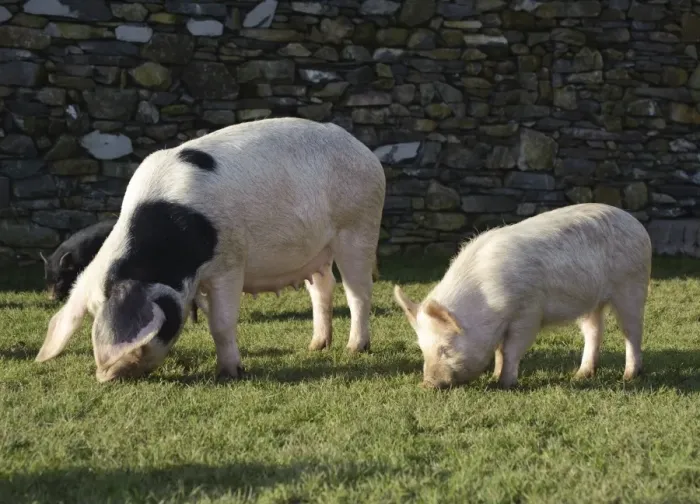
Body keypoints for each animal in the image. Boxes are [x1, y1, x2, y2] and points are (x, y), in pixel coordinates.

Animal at [34, 117, 386, 383]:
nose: (109, 376)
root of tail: (366, 152)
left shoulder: (229, 262)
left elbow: (222, 322)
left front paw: (231, 373)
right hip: (317, 251)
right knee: (323, 288)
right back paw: (316, 346)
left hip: (359, 224)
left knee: (357, 292)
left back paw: (354, 349)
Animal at [393, 203, 652, 389]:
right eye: (421, 347)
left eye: (445, 347)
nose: (426, 384)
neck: (487, 302)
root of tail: (636, 223)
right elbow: (499, 350)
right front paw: (495, 376)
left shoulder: (527, 312)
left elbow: (510, 349)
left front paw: (504, 384)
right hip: (591, 301)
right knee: (594, 331)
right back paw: (580, 375)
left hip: (632, 285)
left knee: (632, 331)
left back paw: (629, 376)